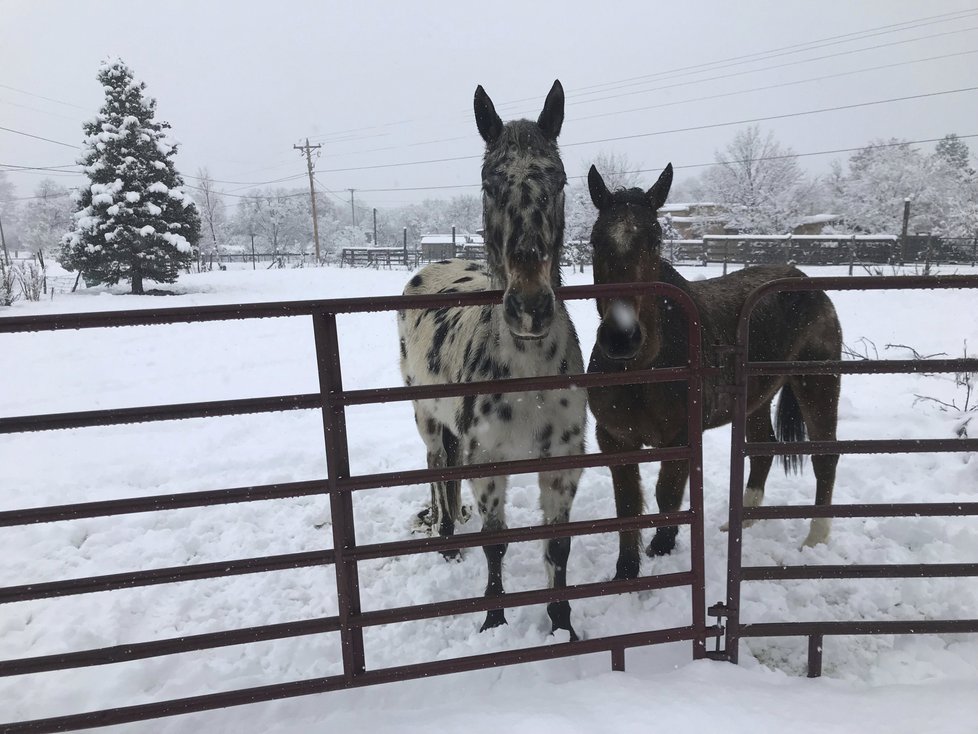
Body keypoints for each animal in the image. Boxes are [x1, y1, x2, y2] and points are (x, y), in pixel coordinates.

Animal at [398, 80, 584, 640]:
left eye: (559, 178)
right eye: (487, 182)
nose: (529, 307)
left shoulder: (563, 462)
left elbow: (558, 546)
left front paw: (562, 625)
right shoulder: (489, 459)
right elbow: (496, 542)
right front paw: (494, 620)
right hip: (427, 416)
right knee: (438, 466)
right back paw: (445, 537)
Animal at [584, 164, 844, 584]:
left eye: (656, 240)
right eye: (594, 241)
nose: (622, 337)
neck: (643, 367)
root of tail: (806, 281)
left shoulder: (681, 436)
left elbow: (668, 494)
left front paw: (663, 546)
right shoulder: (613, 439)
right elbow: (627, 505)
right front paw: (626, 571)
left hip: (818, 385)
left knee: (825, 457)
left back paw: (815, 538)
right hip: (756, 399)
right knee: (764, 449)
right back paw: (743, 521)